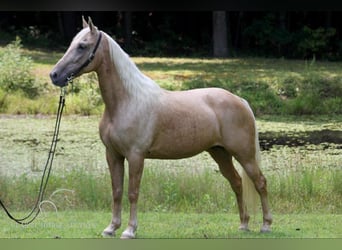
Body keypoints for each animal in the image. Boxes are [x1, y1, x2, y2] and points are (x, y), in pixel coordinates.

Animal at [50, 16, 272, 239]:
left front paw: (130, 230)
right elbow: (117, 191)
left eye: (82, 46)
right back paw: (243, 224)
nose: (55, 75)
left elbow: (132, 192)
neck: (127, 101)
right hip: (220, 153)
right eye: (72, 44)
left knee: (260, 182)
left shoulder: (135, 156)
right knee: (237, 182)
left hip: (244, 155)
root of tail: (240, 100)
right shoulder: (113, 155)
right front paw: (111, 228)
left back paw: (266, 225)